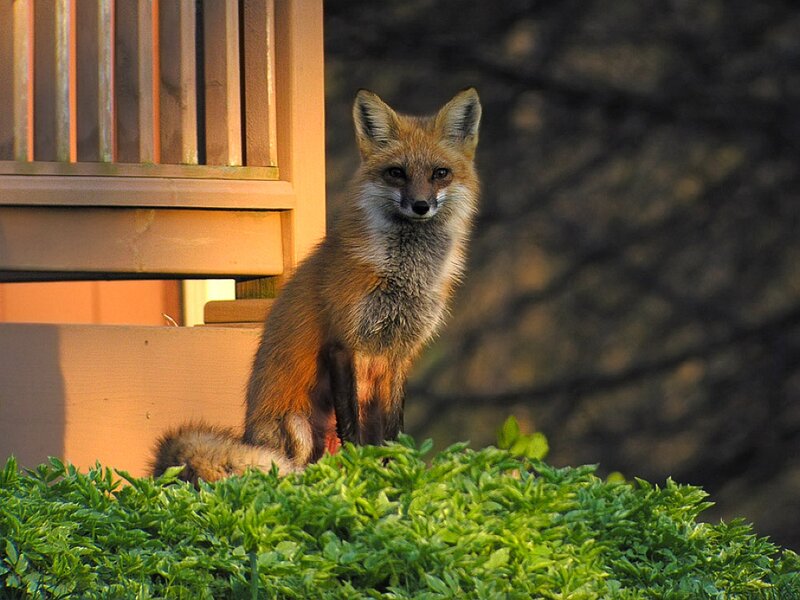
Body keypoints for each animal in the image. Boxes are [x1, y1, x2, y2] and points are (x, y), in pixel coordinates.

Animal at [152, 88, 482, 484]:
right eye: (396, 173)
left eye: (440, 174)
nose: (420, 205)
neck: (403, 276)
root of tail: (249, 434)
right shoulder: (343, 342)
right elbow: (352, 428)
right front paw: (361, 476)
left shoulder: (400, 354)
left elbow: (393, 432)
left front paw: (392, 474)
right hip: (299, 428)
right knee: (297, 472)